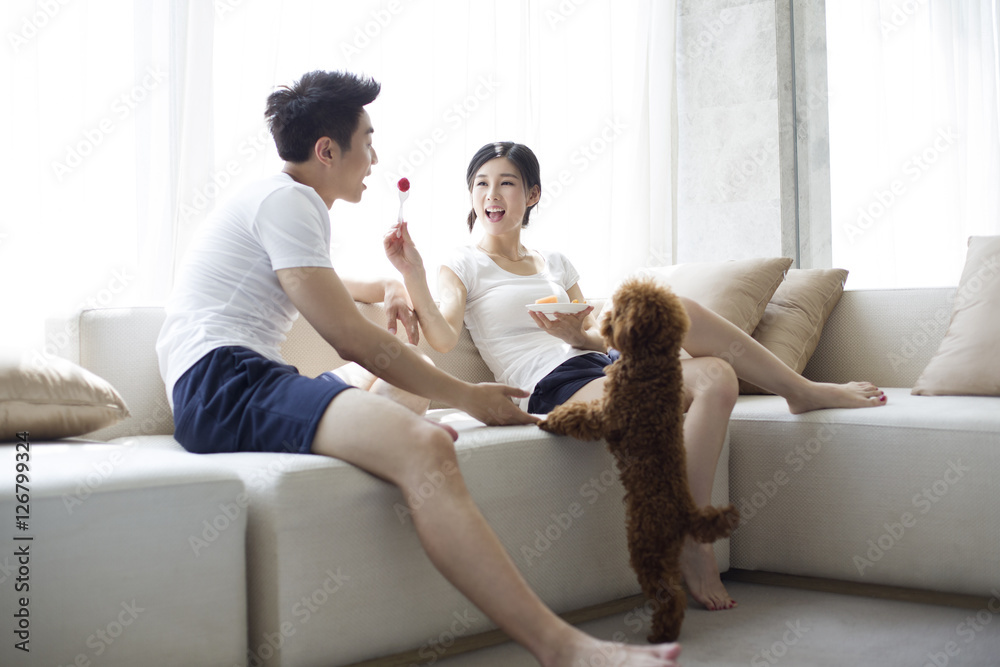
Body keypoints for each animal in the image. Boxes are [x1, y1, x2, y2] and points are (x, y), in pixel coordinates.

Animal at [540, 276, 744, 640]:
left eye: (620, 308)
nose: (604, 320)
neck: (651, 362)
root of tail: (686, 512)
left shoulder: (609, 415)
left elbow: (578, 415)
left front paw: (551, 419)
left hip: (646, 548)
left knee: (670, 597)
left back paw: (660, 635)